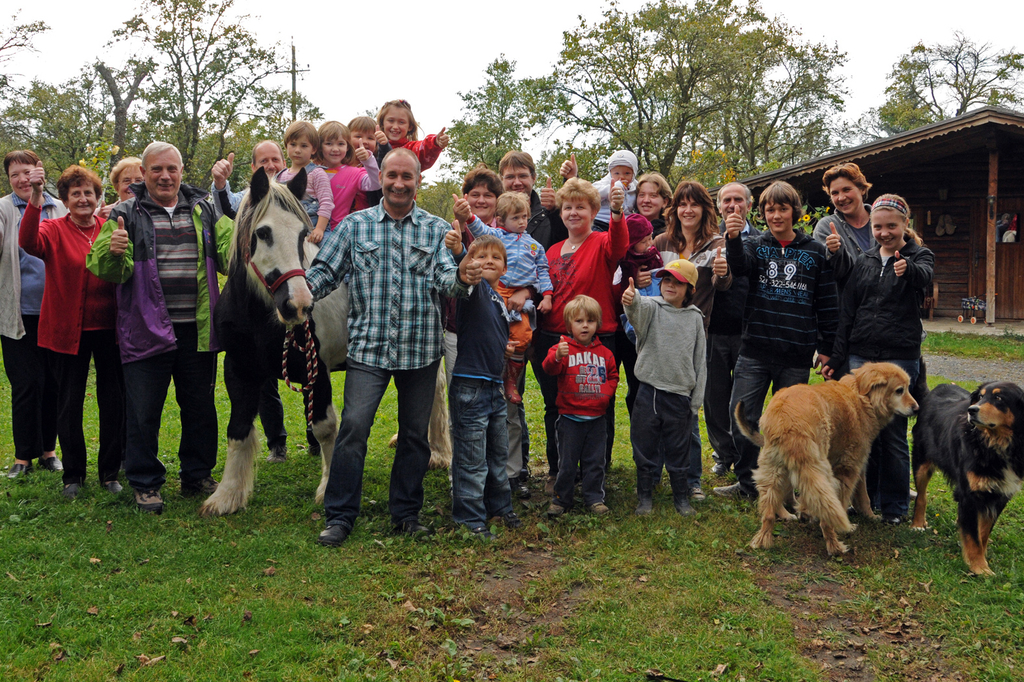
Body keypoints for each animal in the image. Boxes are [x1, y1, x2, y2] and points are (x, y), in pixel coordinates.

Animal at [737, 360, 921, 552]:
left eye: (908, 388)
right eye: (899, 390)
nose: (917, 408)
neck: (862, 396)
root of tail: (786, 420)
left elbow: (860, 496)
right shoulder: (851, 467)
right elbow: (854, 499)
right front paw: (859, 521)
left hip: (777, 468)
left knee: (770, 507)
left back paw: (765, 538)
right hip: (819, 470)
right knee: (827, 512)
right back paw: (835, 546)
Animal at [913, 382, 1024, 573]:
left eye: (999, 398)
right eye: (980, 397)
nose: (971, 410)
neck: (995, 445)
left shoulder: (1000, 494)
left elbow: (983, 533)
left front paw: (981, 558)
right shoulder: (969, 494)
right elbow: (973, 536)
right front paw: (979, 568)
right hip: (921, 463)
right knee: (921, 496)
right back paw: (918, 524)